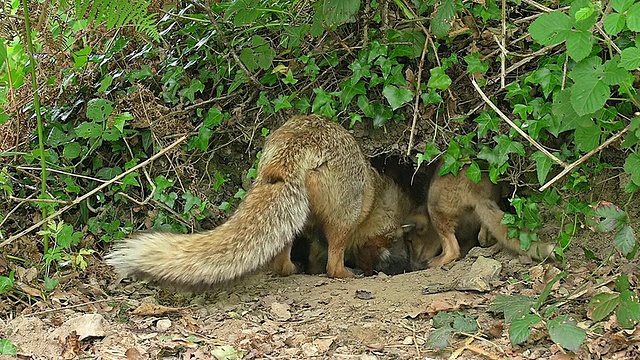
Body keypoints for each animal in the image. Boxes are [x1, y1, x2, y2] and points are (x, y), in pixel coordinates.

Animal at [106, 115, 410, 290]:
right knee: (333, 268)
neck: (375, 197)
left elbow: (313, 257)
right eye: (392, 239)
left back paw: (292, 270)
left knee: (282, 262)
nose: (402, 264)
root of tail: (297, 144)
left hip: (291, 223)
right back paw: (346, 275)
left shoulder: (313, 234)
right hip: (341, 221)